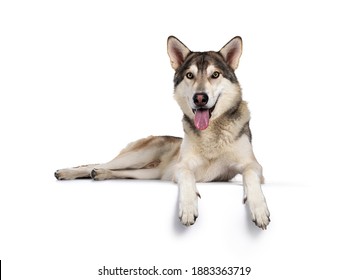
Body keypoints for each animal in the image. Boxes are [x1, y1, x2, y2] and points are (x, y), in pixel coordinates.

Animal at [54, 36, 272, 229]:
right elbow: (187, 177)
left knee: (117, 171)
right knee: (97, 163)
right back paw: (68, 172)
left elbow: (250, 176)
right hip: (139, 156)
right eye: (190, 75)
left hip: (148, 173)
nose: (200, 98)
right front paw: (188, 208)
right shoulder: (182, 166)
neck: (211, 133)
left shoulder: (253, 165)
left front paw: (259, 209)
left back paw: (100, 174)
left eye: (215, 75)